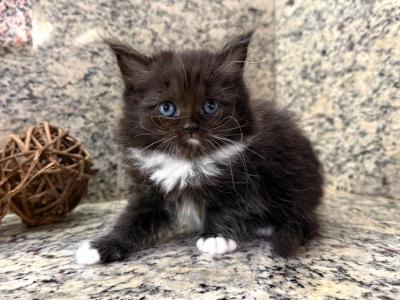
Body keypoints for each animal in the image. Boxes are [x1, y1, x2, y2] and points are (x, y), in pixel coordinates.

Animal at [76, 31, 324, 264]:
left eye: (210, 106)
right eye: (167, 108)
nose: (191, 127)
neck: (189, 161)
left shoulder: (247, 177)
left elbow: (231, 207)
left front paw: (216, 237)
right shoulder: (149, 186)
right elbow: (133, 217)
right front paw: (101, 246)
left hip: (290, 177)